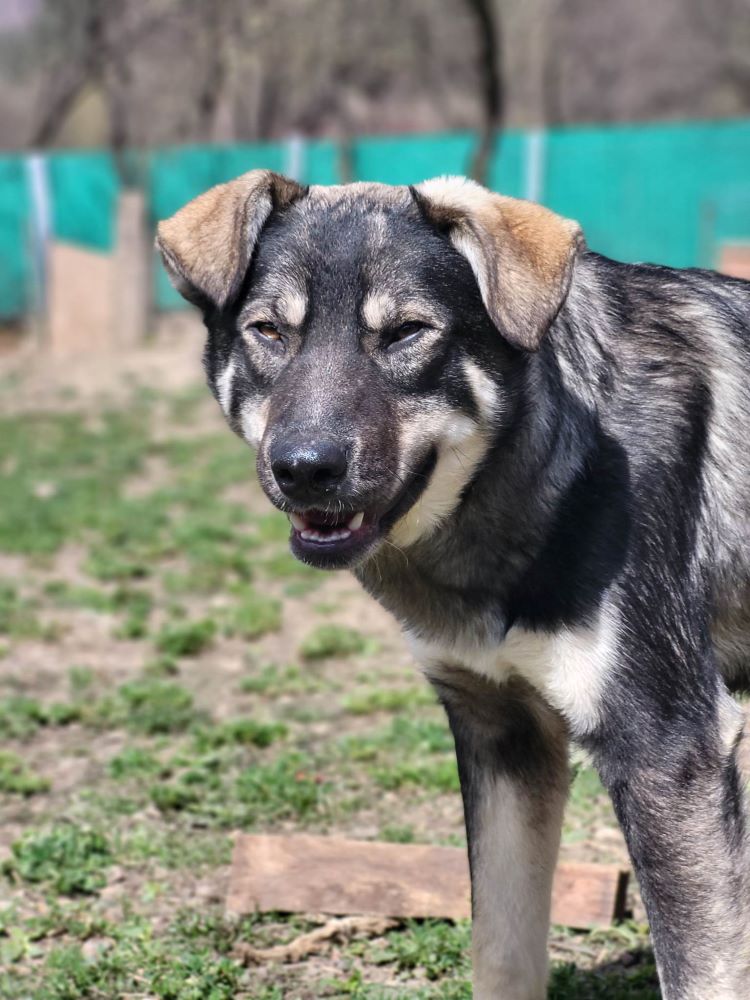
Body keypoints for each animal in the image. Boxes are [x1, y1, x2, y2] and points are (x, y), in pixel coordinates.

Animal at [157, 172, 750, 1000]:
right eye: (269, 331)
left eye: (407, 332)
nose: (303, 467)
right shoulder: (502, 734)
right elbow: (499, 948)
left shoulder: (669, 749)